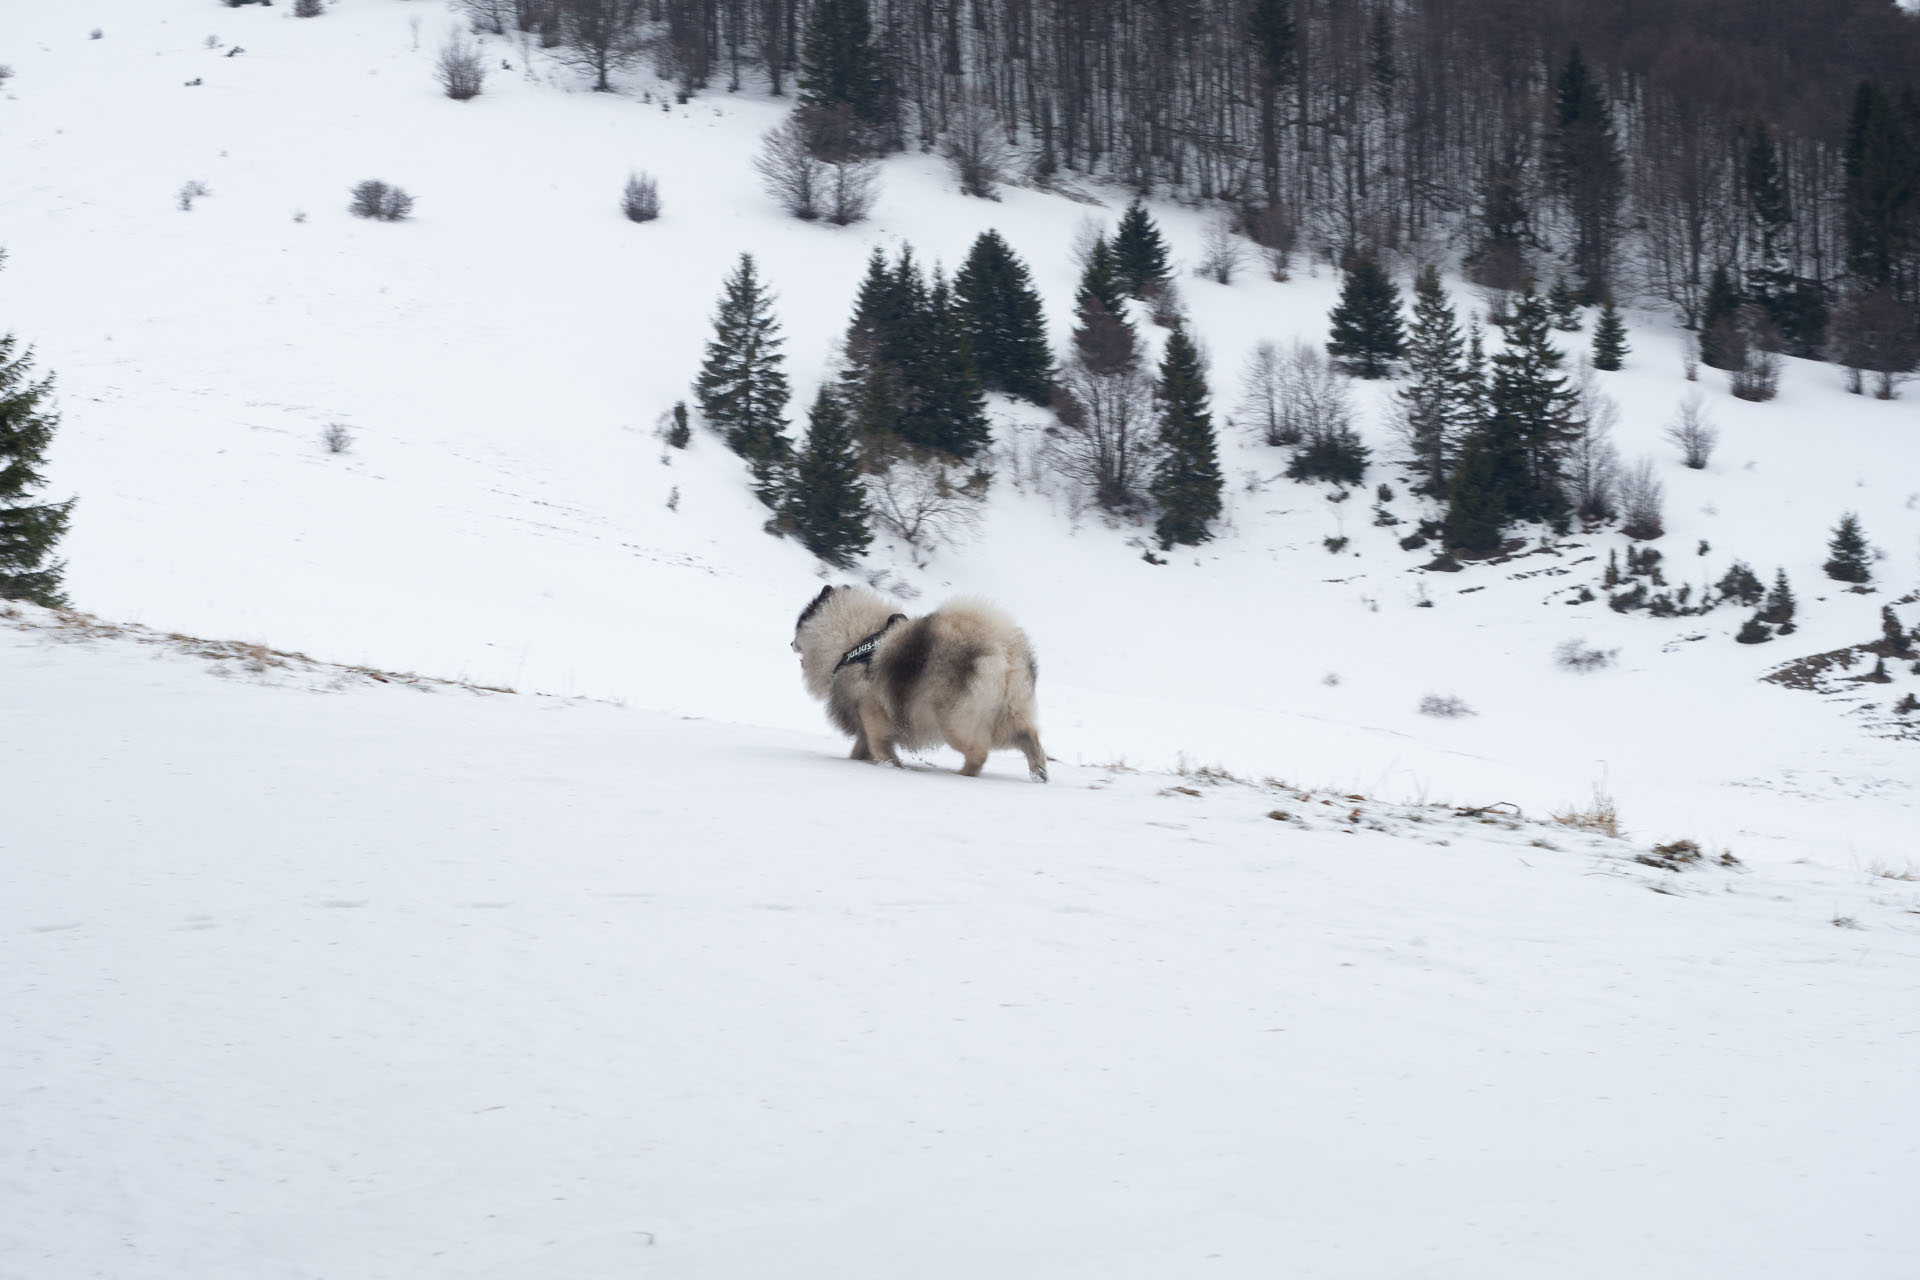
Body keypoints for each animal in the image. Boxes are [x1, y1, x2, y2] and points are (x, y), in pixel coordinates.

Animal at [787, 579, 1052, 782]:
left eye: (798, 625)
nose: (790, 643)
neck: (854, 639)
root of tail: (1003, 648)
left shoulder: (870, 710)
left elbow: (877, 743)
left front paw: (890, 763)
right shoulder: (864, 722)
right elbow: (862, 747)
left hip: (956, 722)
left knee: (979, 753)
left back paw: (962, 775)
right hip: (1005, 715)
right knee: (1028, 737)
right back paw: (1038, 773)